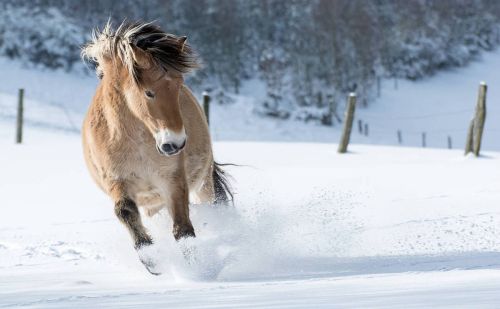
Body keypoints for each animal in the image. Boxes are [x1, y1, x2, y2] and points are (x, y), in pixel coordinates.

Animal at [80, 21, 232, 272]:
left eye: (179, 87)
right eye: (148, 92)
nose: (175, 143)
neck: (136, 143)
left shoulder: (172, 179)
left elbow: (183, 229)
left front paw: (196, 267)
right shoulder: (116, 180)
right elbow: (125, 211)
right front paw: (151, 259)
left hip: (204, 183)